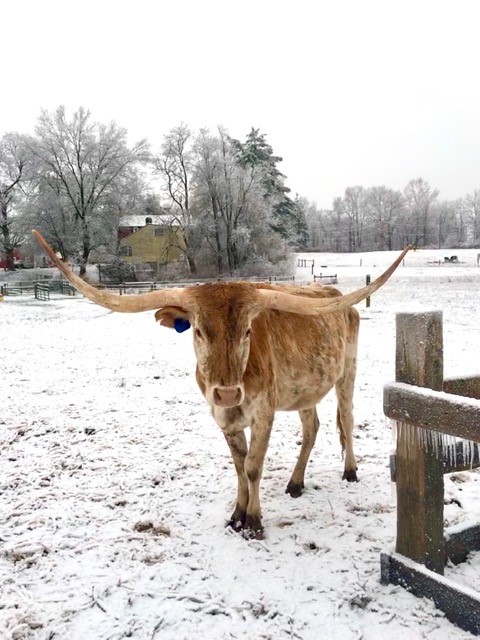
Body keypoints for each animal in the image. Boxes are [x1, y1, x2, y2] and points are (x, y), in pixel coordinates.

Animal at [33, 231, 409, 538]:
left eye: (247, 330)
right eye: (199, 330)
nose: (227, 392)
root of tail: (336, 295)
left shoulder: (264, 414)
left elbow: (254, 466)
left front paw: (254, 522)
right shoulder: (224, 418)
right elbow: (239, 466)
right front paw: (237, 515)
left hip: (348, 374)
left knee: (346, 418)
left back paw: (350, 472)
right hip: (307, 389)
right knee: (311, 428)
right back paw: (296, 482)